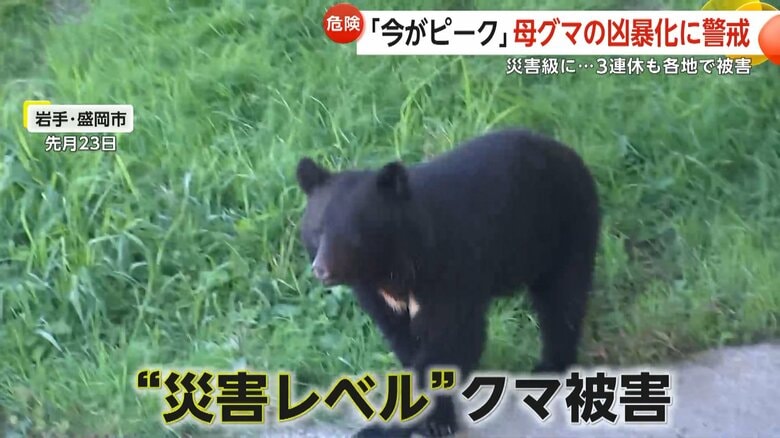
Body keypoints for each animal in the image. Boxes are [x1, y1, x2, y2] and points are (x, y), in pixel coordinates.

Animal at [295, 128, 601, 437]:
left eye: (354, 236)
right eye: (318, 230)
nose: (322, 269)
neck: (394, 264)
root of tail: (566, 150)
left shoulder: (449, 269)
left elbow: (453, 338)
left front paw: (420, 423)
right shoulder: (377, 293)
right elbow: (403, 339)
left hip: (566, 228)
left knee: (562, 302)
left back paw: (549, 367)